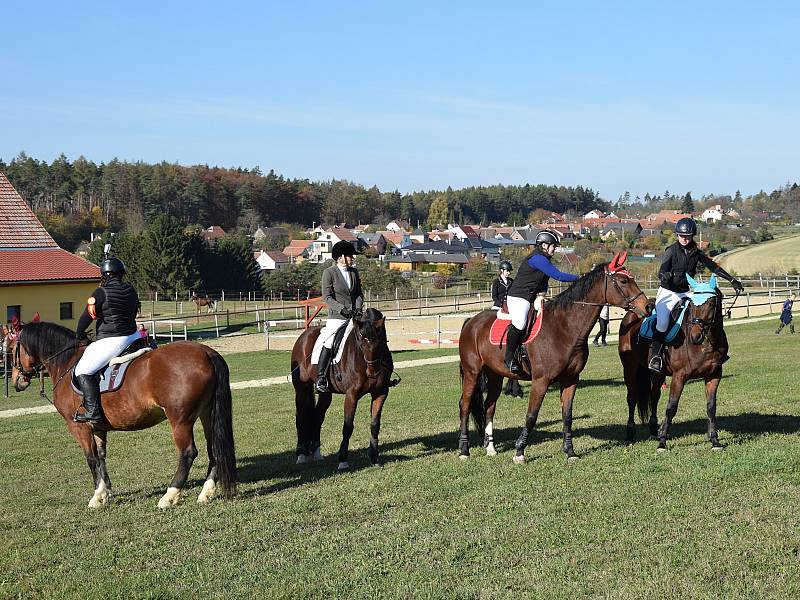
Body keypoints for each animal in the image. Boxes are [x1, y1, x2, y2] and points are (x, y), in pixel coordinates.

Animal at [6, 322, 238, 508]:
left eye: (9, 349)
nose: (16, 381)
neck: (66, 362)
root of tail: (206, 352)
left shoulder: (79, 427)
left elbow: (91, 459)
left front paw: (97, 497)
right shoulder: (98, 427)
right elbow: (101, 457)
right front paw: (106, 493)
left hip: (180, 420)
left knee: (188, 453)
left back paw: (169, 496)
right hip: (207, 414)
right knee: (213, 449)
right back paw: (206, 493)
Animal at [292, 308, 396, 472]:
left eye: (381, 342)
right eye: (361, 342)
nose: (373, 373)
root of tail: (303, 336)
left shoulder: (381, 393)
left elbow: (375, 425)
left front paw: (375, 458)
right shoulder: (351, 395)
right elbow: (348, 426)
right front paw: (343, 460)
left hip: (326, 394)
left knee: (317, 416)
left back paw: (317, 453)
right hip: (301, 390)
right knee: (301, 417)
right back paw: (301, 455)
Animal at [456, 253, 648, 464]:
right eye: (623, 281)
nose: (647, 306)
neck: (564, 328)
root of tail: (471, 321)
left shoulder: (571, 379)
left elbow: (567, 416)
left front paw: (570, 452)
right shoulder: (541, 381)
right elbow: (531, 416)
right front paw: (519, 452)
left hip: (495, 375)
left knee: (489, 407)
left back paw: (490, 448)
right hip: (472, 373)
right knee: (465, 406)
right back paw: (464, 450)